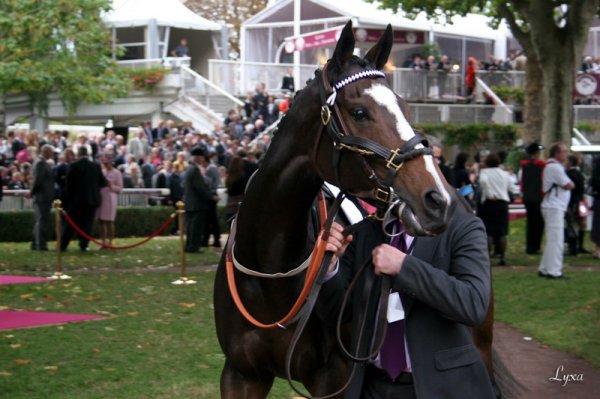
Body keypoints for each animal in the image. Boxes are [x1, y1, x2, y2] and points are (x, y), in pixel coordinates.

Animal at [213, 21, 480, 396]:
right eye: (359, 112)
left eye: (405, 106)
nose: (438, 200)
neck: (268, 270)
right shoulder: (241, 373)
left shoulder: (333, 377)